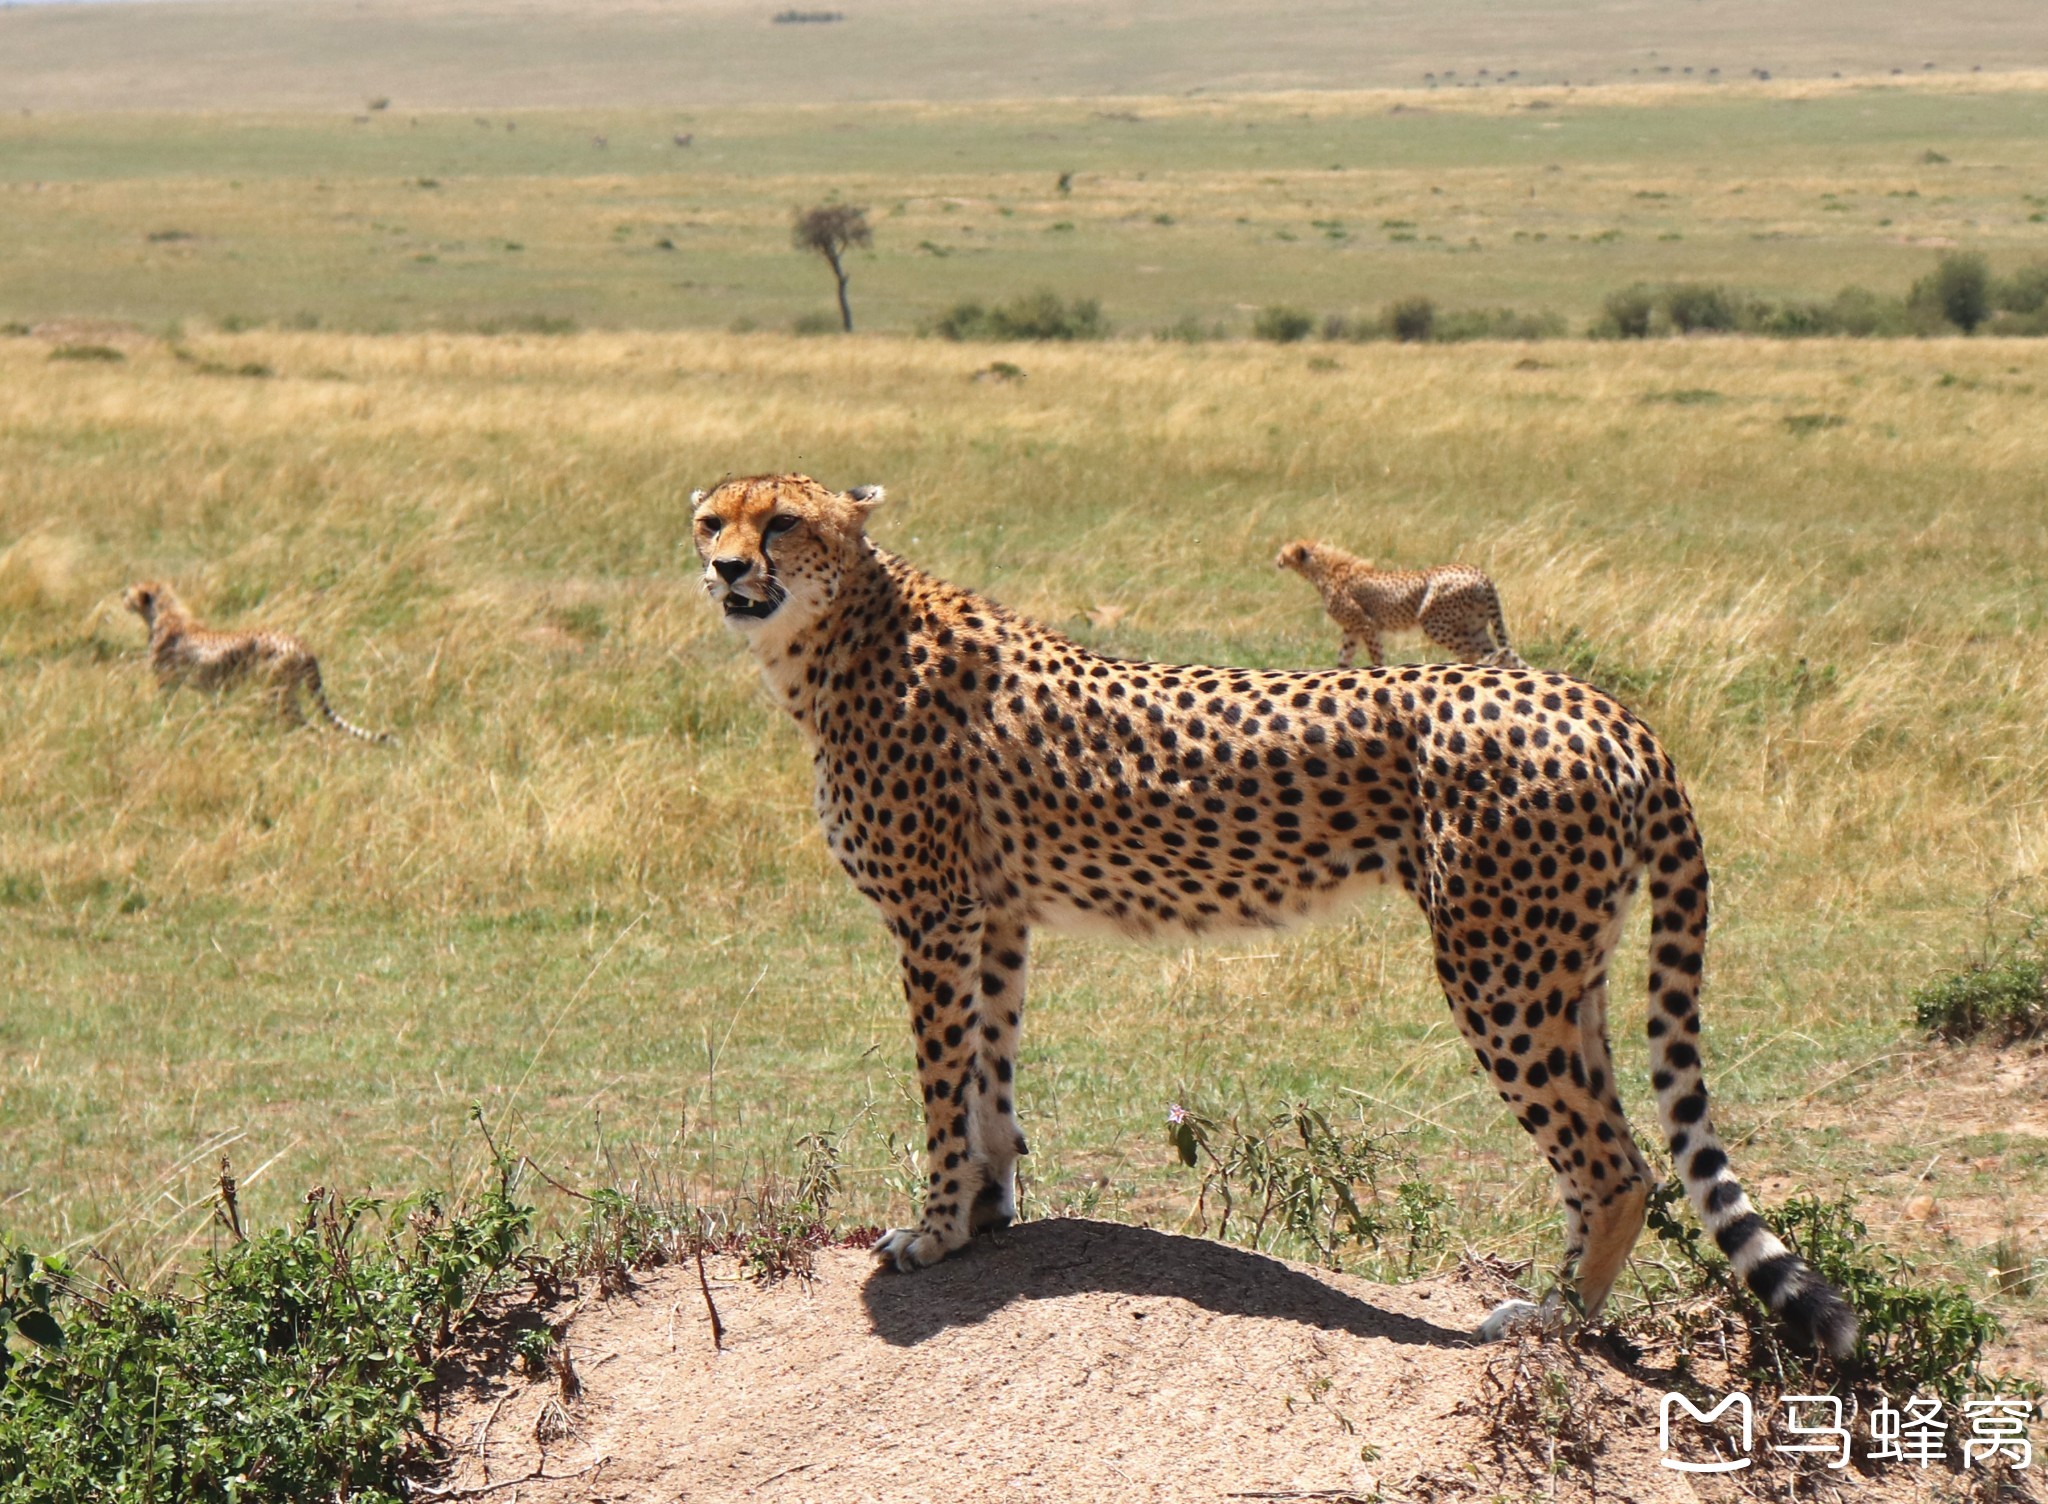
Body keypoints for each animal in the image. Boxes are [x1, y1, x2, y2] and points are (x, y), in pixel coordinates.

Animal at [122, 581, 391, 745]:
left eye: (129, 592)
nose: (122, 596)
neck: (163, 611)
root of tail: (303, 645)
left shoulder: (167, 682)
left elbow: (165, 709)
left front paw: (162, 726)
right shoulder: (210, 690)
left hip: (274, 693)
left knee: (298, 722)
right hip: (286, 693)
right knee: (310, 724)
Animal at [1269, 532, 1531, 667]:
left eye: (1283, 552)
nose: (1277, 560)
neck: (1325, 570)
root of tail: (1481, 574)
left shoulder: (1366, 624)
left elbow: (1376, 656)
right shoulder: (1352, 628)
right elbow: (1343, 658)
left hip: (1435, 623)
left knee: (1477, 654)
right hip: (1474, 626)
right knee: (1499, 653)